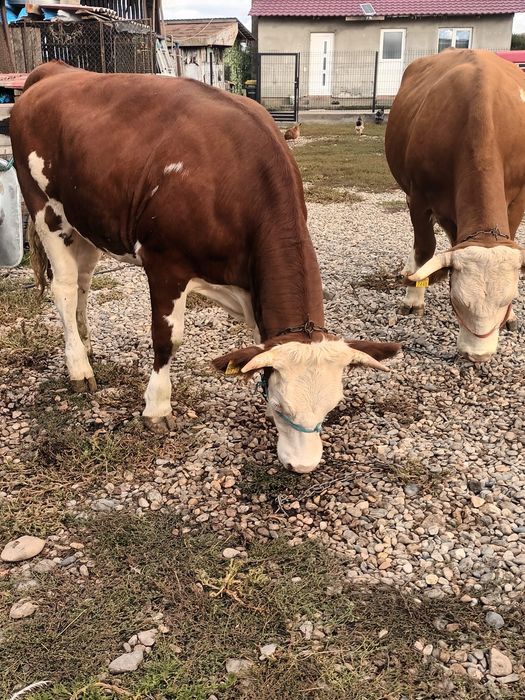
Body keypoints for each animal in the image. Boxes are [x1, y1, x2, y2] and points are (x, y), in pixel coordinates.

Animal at [10, 61, 400, 474]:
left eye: (332, 407)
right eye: (280, 406)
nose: (303, 465)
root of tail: (54, 70)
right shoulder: (165, 263)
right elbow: (167, 339)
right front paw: (157, 408)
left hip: (86, 220)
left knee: (83, 282)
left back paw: (85, 346)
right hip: (45, 209)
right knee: (64, 289)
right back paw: (79, 369)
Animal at [385, 49, 525, 363]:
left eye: (508, 299)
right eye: (456, 300)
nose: (478, 355)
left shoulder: (519, 197)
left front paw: (511, 317)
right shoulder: (419, 197)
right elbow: (425, 249)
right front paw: (414, 298)